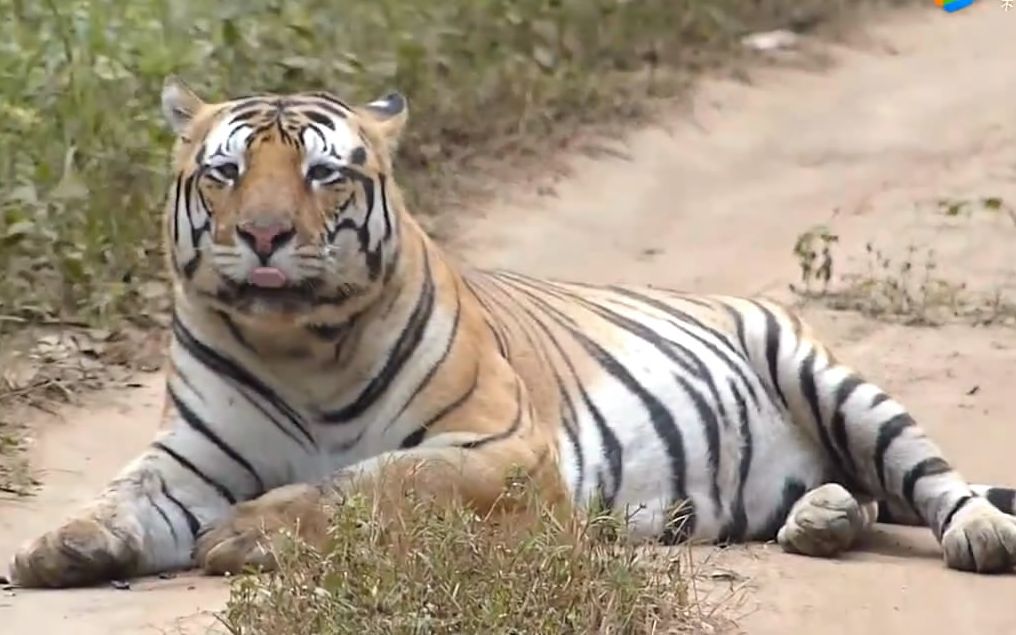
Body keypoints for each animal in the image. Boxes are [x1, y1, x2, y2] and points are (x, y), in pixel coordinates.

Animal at [9, 77, 1016, 589]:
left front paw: (246, 532)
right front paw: (61, 545)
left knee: (930, 477)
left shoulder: (500, 448)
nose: (262, 235)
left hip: (828, 376)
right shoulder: (191, 462)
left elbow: (375, 481)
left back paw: (977, 536)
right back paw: (822, 518)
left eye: (325, 174)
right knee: (859, 496)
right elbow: (129, 496)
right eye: (223, 173)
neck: (298, 346)